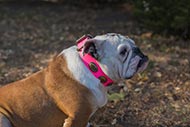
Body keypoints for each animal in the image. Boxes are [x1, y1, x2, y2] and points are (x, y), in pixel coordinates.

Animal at [0, 33, 148, 126]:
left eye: (134, 44)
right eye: (123, 52)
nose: (138, 50)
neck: (92, 67)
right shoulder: (77, 117)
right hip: (3, 118)